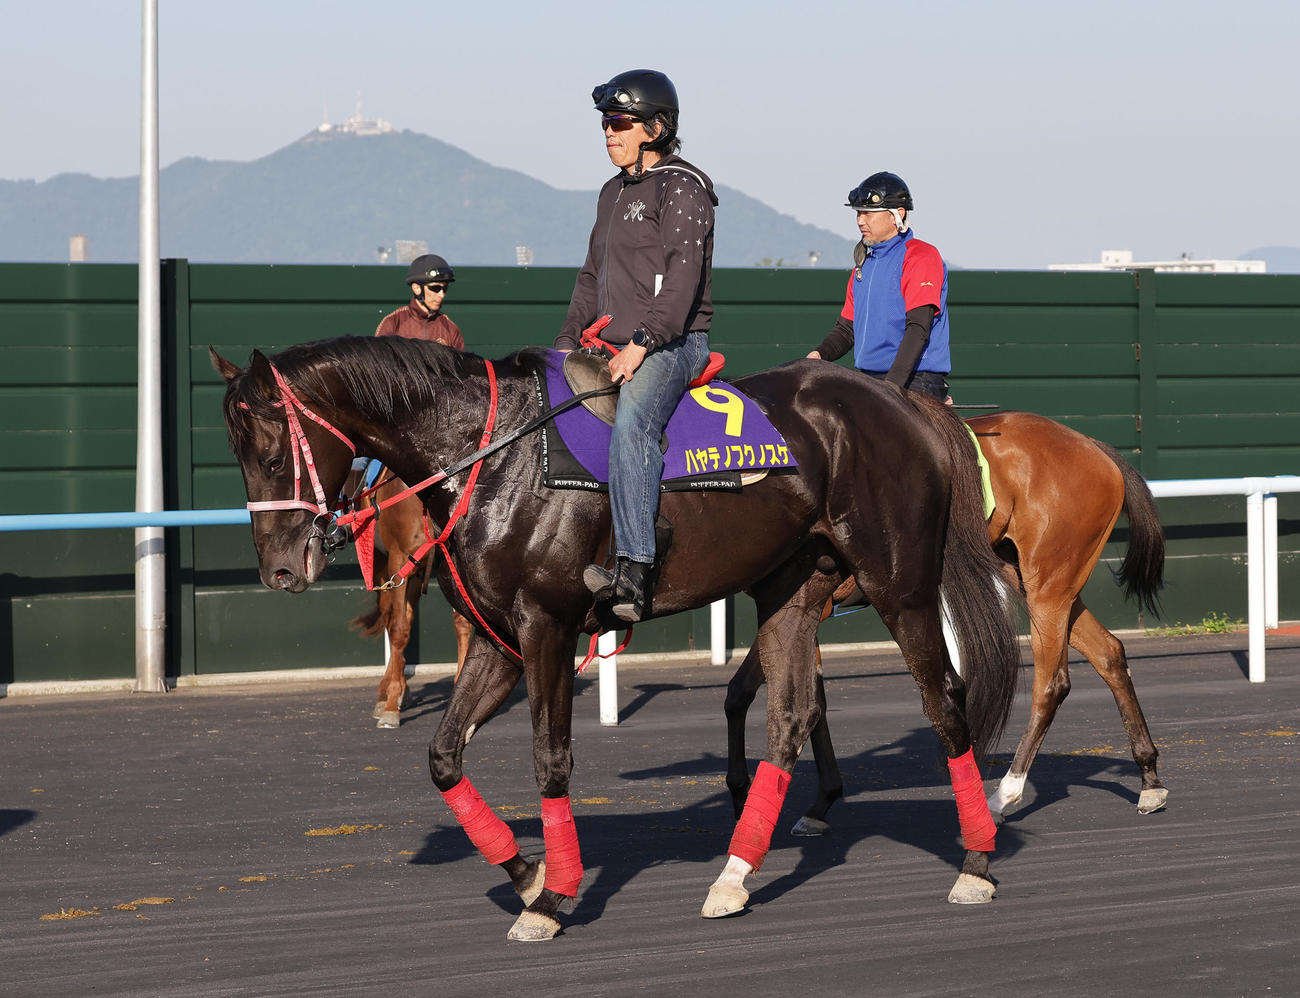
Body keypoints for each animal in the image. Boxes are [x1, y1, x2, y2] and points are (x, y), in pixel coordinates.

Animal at [348, 475, 474, 728]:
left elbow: (463, 623)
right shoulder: (399, 559)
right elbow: (398, 629)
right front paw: (390, 707)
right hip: (384, 565)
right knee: (391, 617)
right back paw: (388, 693)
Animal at [724, 410, 1167, 836]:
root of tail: (1092, 446)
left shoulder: (804, 606)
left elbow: (758, 695)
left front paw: (749, 793)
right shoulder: (802, 610)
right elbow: (783, 699)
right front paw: (817, 803)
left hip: (1049, 586)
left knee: (1052, 684)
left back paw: (1004, 795)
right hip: (1033, 578)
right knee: (1109, 652)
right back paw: (1149, 779)